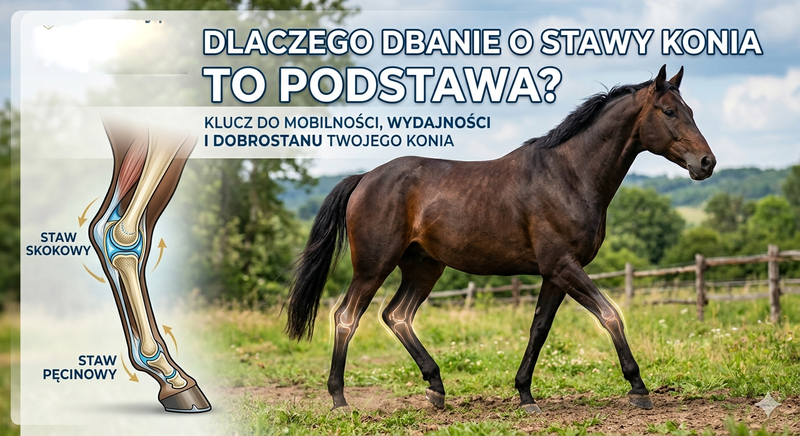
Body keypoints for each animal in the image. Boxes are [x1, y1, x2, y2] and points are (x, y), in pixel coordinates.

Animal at [285, 65, 715, 413]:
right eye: (669, 111)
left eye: (692, 111)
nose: (706, 163)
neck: (569, 175)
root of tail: (364, 178)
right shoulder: (564, 266)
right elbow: (610, 314)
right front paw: (638, 388)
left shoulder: (554, 273)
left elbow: (539, 329)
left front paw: (525, 395)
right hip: (374, 267)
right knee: (346, 316)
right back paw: (340, 399)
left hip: (424, 267)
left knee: (397, 315)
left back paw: (436, 389)